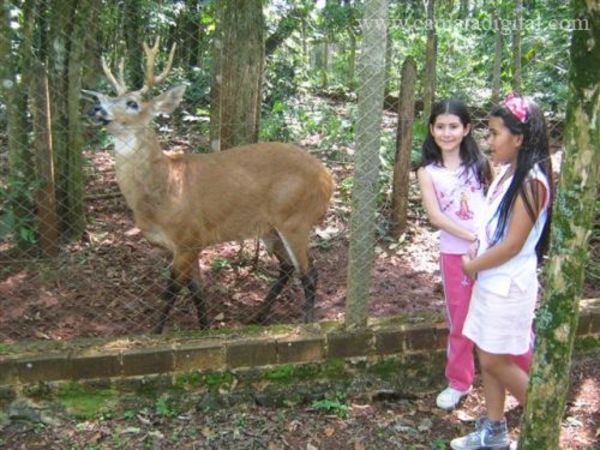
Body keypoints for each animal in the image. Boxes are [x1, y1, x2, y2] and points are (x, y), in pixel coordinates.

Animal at [84, 39, 336, 334]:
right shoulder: (187, 243)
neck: (165, 187)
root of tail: (328, 178)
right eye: (107, 99)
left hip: (296, 218)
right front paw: (204, 329)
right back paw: (256, 316)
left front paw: (155, 334)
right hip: (270, 227)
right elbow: (197, 292)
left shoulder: (189, 236)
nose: (96, 109)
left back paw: (306, 324)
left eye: (132, 103)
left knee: (309, 273)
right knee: (287, 268)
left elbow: (170, 291)